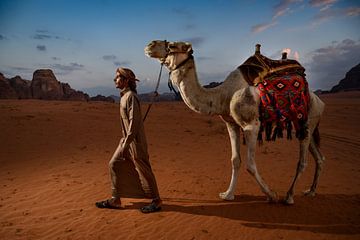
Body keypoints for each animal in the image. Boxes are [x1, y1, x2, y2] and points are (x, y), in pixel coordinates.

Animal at [144, 39, 326, 204]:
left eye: (172, 45)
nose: (149, 45)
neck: (223, 95)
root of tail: (318, 100)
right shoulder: (231, 124)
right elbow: (235, 160)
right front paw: (228, 194)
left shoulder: (251, 125)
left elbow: (250, 165)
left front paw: (272, 195)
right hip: (305, 124)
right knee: (319, 157)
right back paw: (311, 191)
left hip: (308, 119)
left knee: (302, 162)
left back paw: (289, 197)